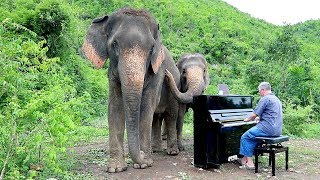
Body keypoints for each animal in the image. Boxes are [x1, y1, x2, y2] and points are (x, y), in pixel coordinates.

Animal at [81, 7, 181, 172]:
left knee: (171, 116)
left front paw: (144, 164)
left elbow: (146, 108)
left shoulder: (157, 72)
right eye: (114, 43)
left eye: (151, 49)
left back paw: (171, 152)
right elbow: (115, 107)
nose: (141, 154)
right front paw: (115, 168)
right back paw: (155, 150)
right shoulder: (112, 74)